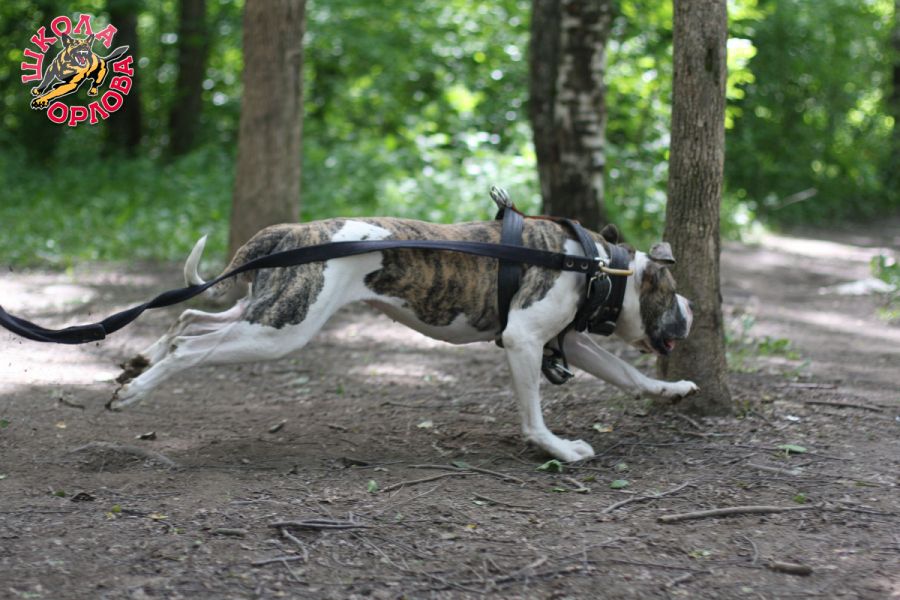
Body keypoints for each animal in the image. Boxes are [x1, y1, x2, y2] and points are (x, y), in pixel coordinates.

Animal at [112, 217, 697, 462]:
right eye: (673, 294)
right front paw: (556, 449)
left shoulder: (566, 342)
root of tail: (291, 231)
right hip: (283, 328)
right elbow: (534, 415)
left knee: (188, 318)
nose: (693, 313)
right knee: (190, 346)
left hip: (267, 310)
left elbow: (626, 373)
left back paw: (138, 364)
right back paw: (134, 392)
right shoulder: (524, 340)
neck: (596, 265)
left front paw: (670, 390)